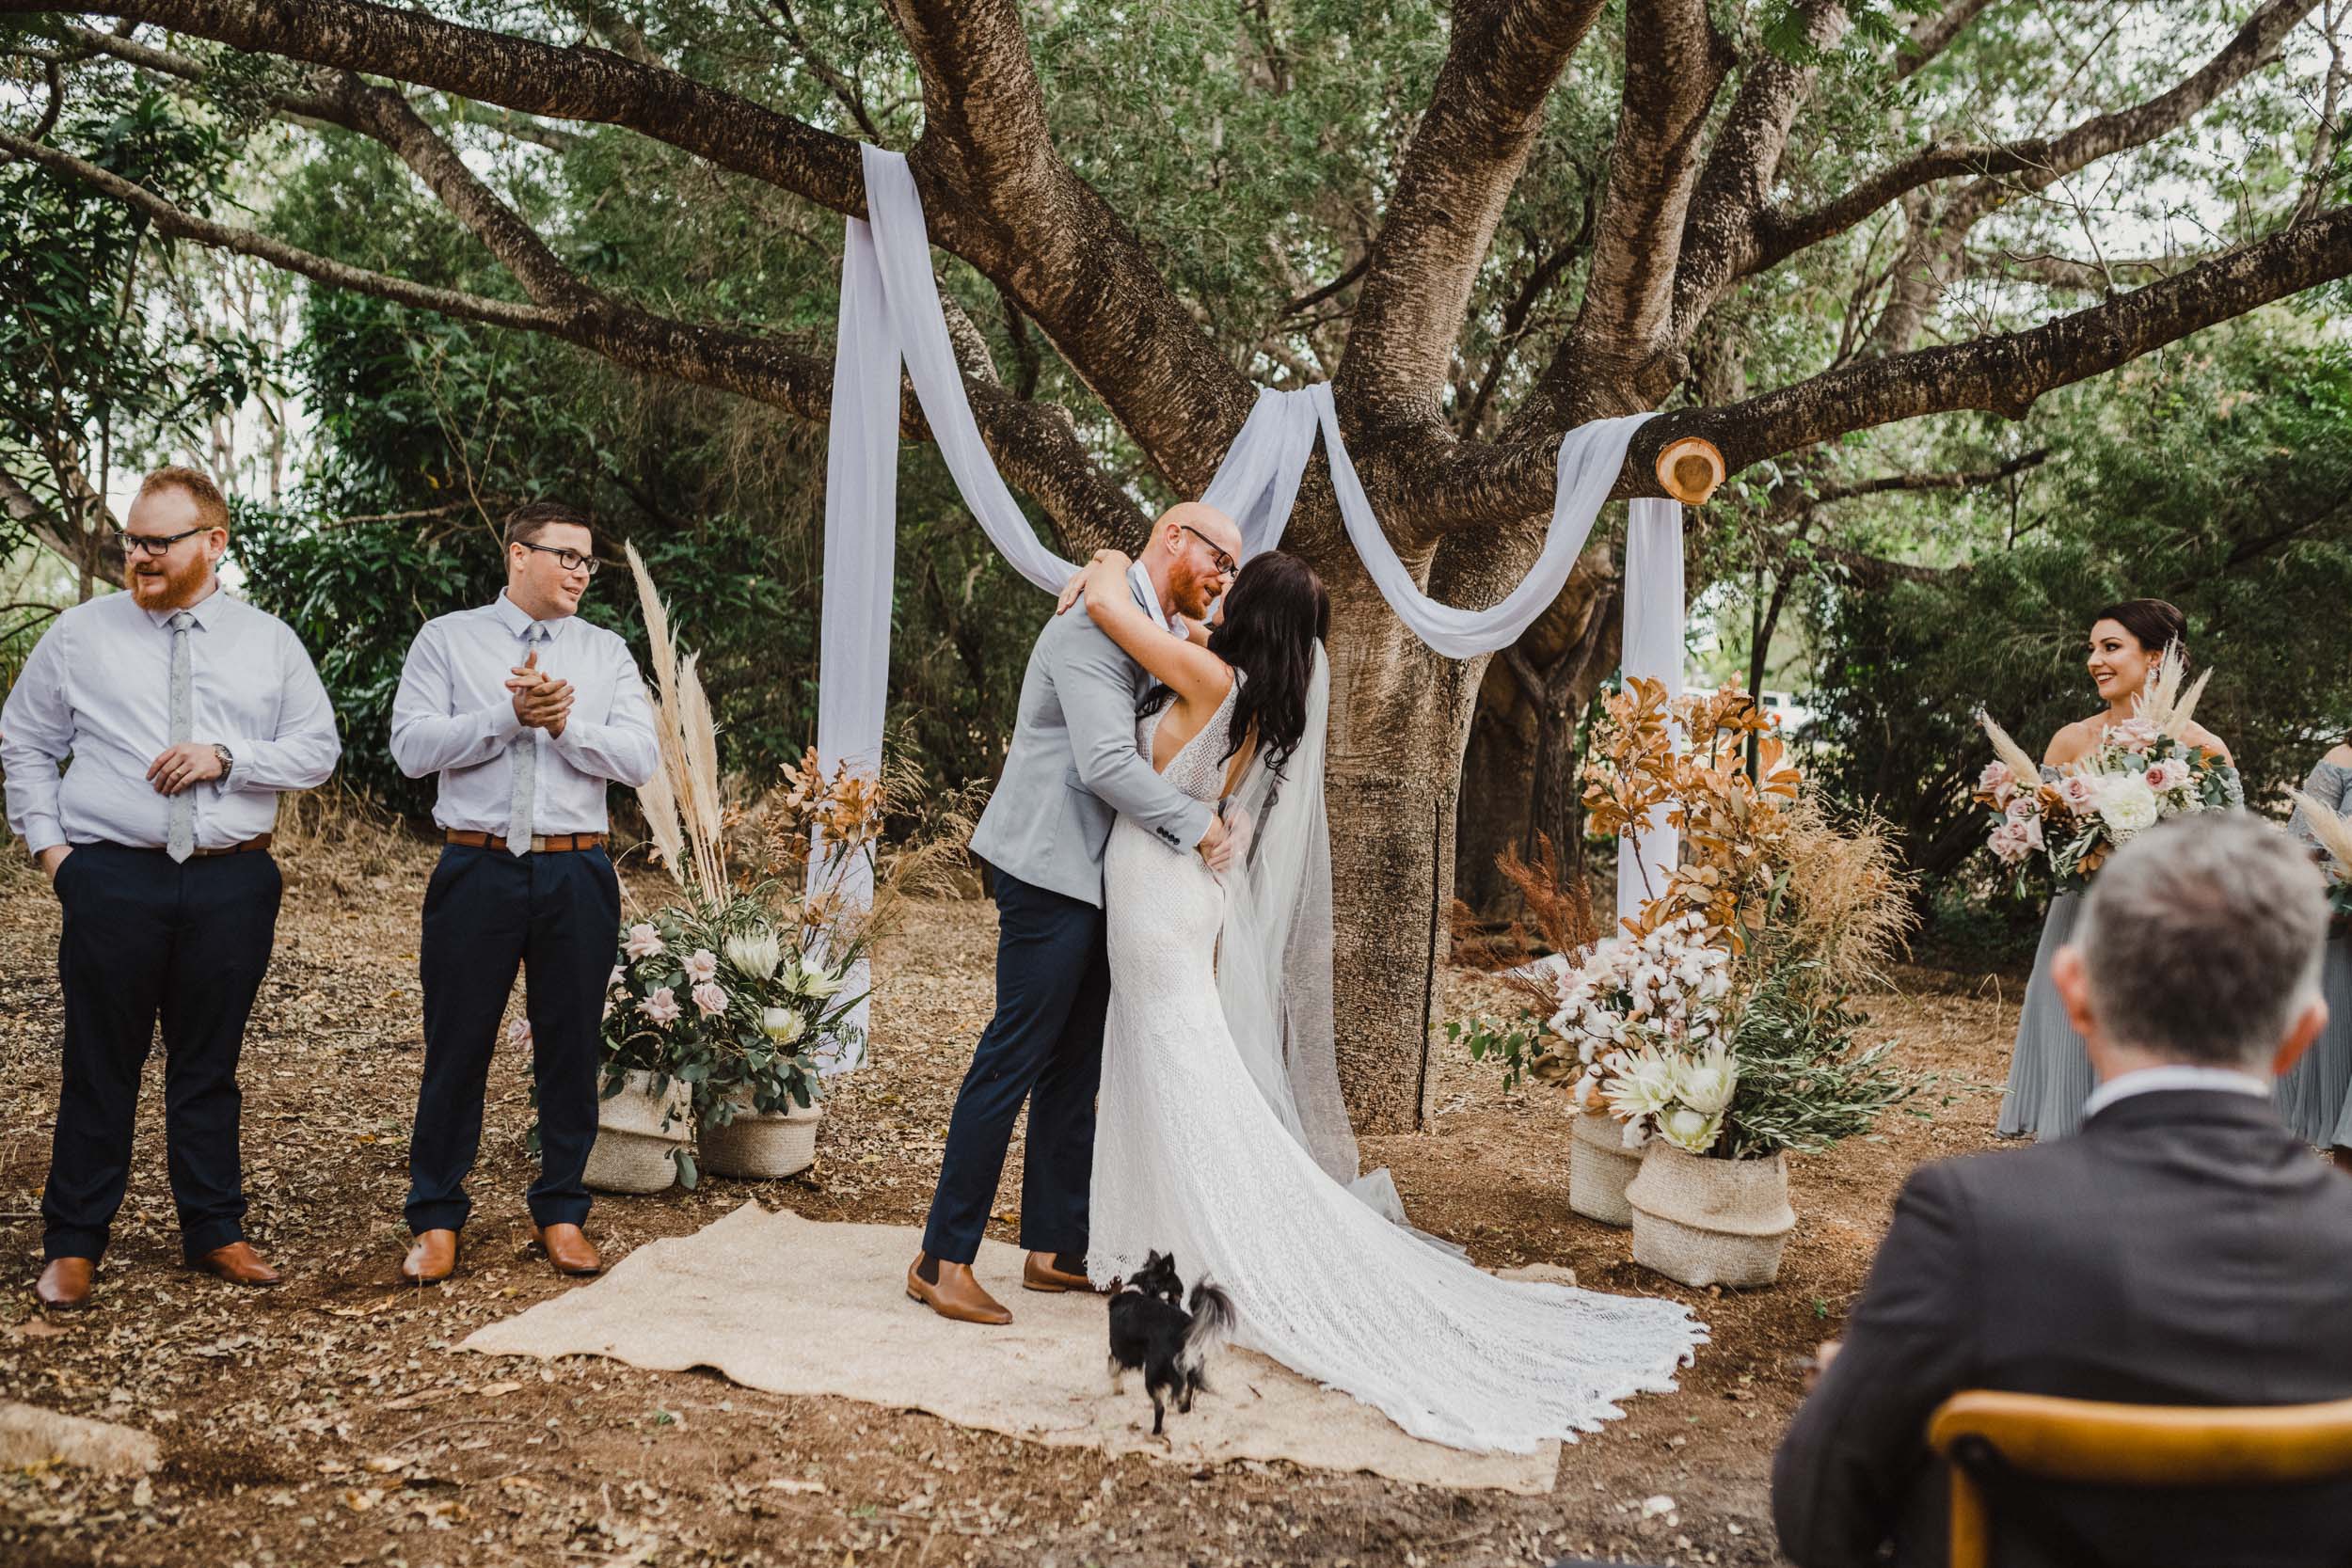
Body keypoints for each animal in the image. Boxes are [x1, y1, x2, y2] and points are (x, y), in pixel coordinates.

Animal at [1110, 1250, 1242, 1438]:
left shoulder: (1119, 1349)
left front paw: (1117, 1389)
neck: (1141, 1291)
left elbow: (1114, 1368)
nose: (1179, 1305)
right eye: (1176, 1297)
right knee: (1190, 1387)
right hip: (1192, 1364)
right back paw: (1183, 1407)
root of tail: (1185, 1332)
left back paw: (1155, 1432)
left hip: (1152, 1373)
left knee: (1160, 1408)